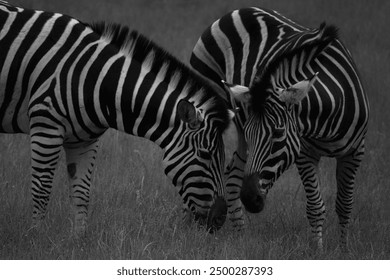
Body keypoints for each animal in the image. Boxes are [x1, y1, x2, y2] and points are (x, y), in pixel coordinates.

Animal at [0, 1, 235, 235]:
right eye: (205, 155)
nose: (220, 220)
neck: (96, 79)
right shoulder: (46, 127)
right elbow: (41, 190)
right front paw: (36, 236)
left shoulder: (84, 140)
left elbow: (81, 193)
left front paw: (79, 240)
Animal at [191, 7, 368, 252]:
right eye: (252, 134)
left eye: (277, 134)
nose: (250, 199)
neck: (326, 119)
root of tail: (241, 9)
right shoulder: (304, 153)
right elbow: (315, 206)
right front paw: (318, 253)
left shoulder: (355, 152)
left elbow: (344, 205)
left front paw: (343, 252)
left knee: (232, 173)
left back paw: (240, 236)